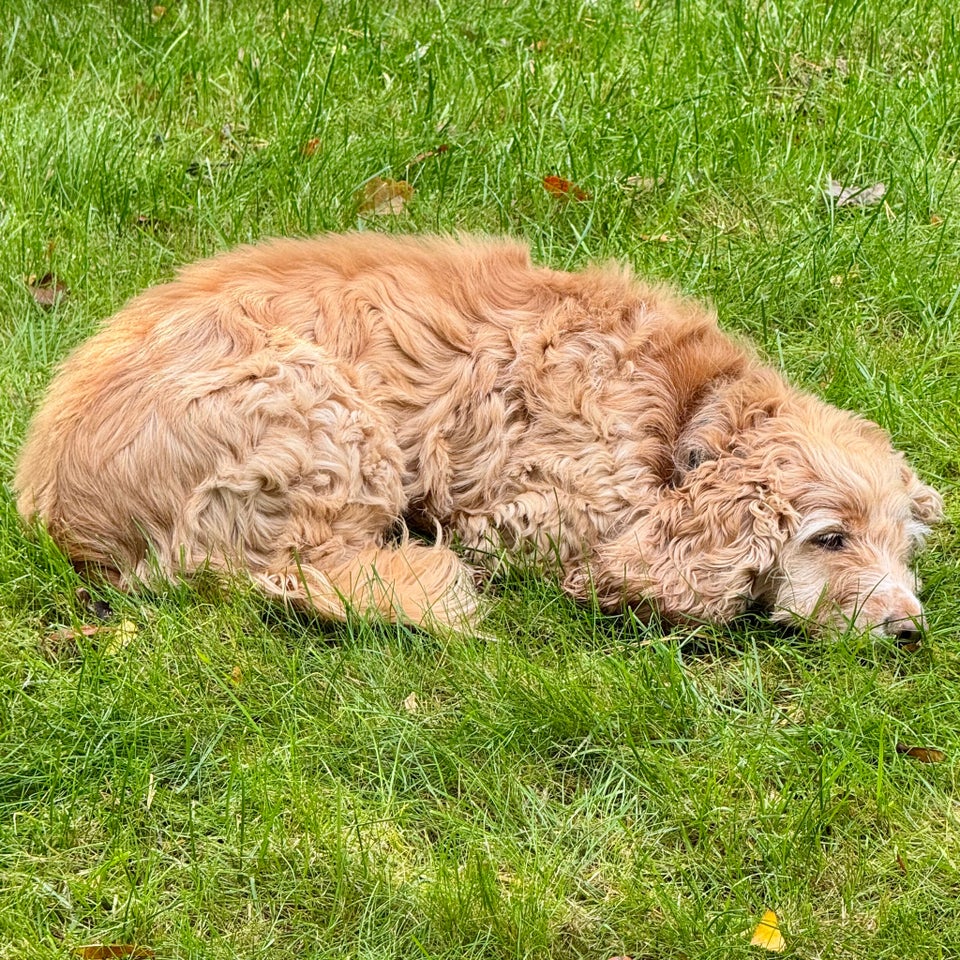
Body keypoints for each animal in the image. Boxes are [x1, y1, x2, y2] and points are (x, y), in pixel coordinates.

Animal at [15, 232, 944, 636]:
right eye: (829, 539)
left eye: (903, 547)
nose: (910, 629)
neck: (692, 412)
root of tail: (53, 506)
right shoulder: (534, 512)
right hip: (319, 412)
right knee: (288, 571)